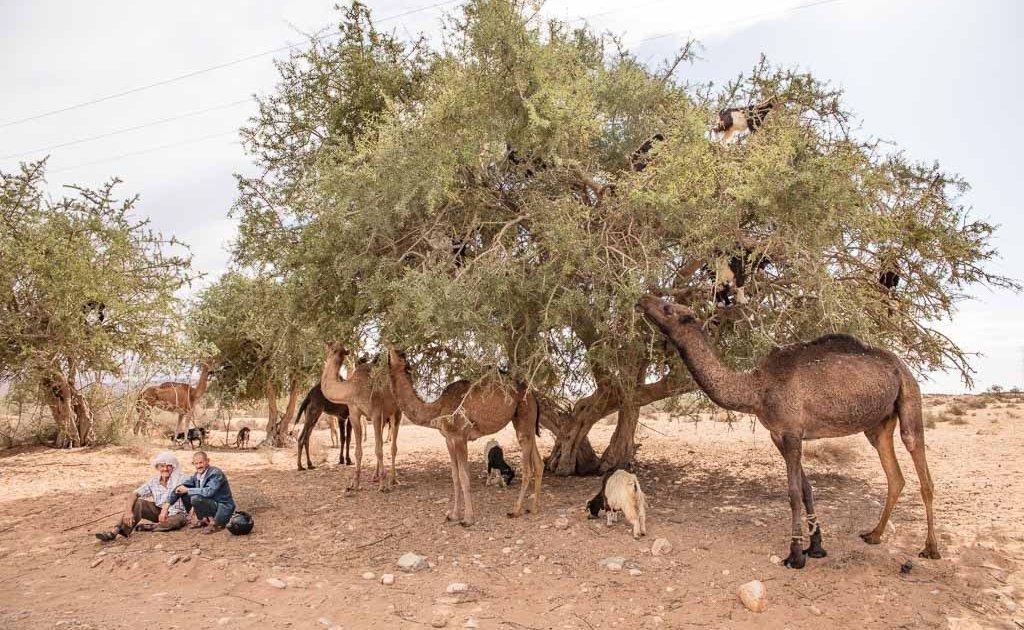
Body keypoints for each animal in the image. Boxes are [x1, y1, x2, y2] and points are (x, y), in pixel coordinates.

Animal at [317, 344, 401, 493]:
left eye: (333, 348)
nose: (326, 345)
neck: (353, 388)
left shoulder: (375, 412)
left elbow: (379, 450)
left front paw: (383, 485)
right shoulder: (354, 414)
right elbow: (359, 451)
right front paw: (354, 483)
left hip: (396, 411)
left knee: (393, 447)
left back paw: (393, 479)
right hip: (384, 416)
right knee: (381, 442)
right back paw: (375, 476)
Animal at [385, 350, 544, 528]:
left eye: (400, 355)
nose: (390, 350)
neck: (437, 409)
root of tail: (533, 396)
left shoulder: (461, 437)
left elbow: (464, 476)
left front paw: (468, 519)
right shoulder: (449, 440)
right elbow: (455, 477)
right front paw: (453, 515)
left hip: (524, 415)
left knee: (527, 467)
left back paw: (515, 511)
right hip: (523, 422)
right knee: (538, 463)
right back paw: (534, 508)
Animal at [638, 297, 942, 573]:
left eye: (667, 308)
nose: (644, 298)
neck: (757, 389)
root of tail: (900, 365)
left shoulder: (792, 432)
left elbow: (794, 492)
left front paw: (795, 555)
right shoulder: (778, 434)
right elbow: (806, 489)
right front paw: (816, 546)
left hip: (910, 396)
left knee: (922, 469)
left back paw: (931, 549)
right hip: (878, 425)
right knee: (895, 476)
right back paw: (873, 535)